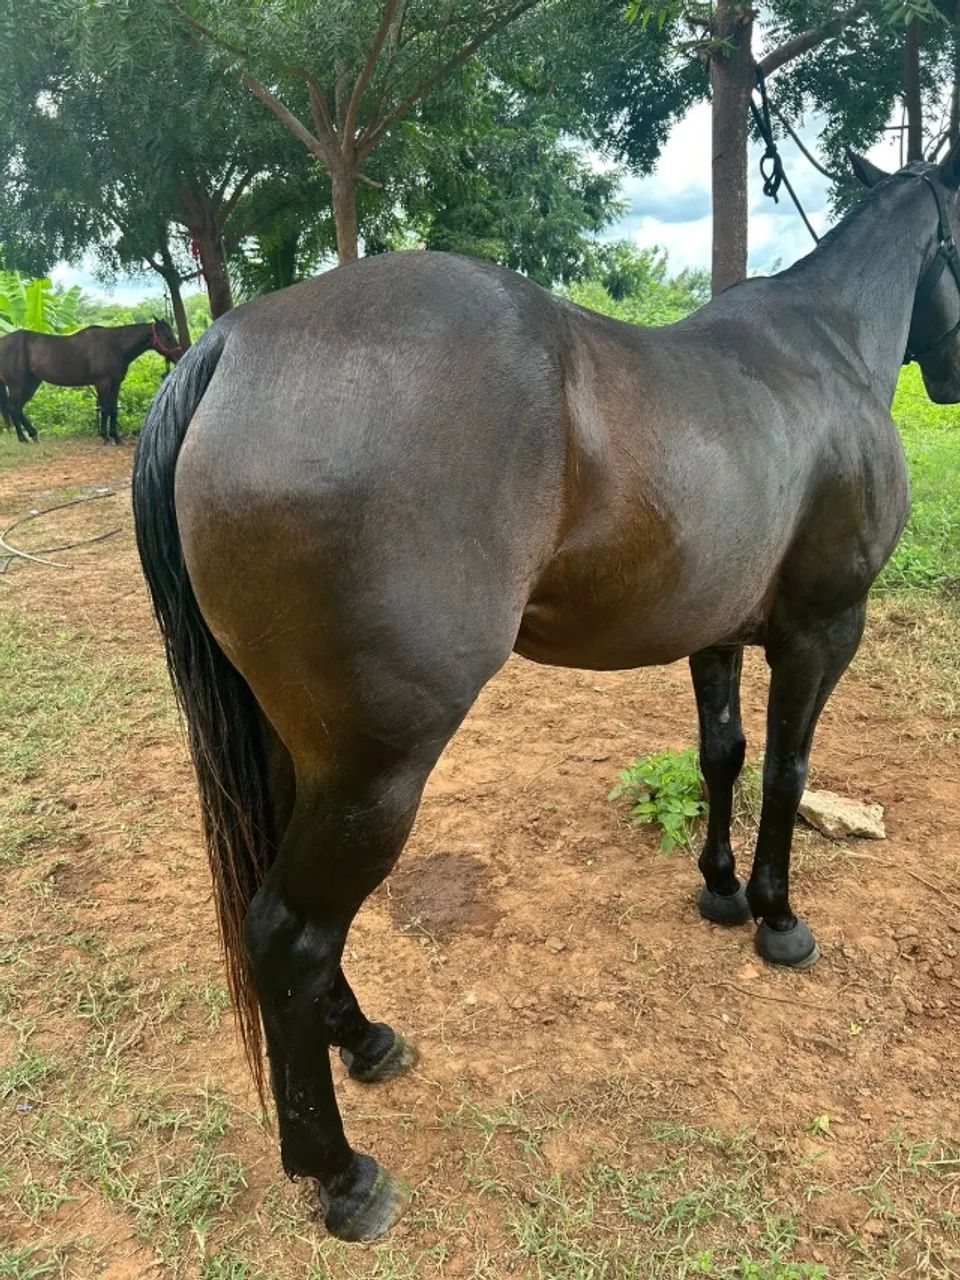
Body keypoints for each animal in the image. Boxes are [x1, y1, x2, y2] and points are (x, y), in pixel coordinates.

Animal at [0, 317, 181, 444]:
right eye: (168, 337)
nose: (179, 356)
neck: (114, 346)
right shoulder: (103, 383)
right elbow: (105, 409)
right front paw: (106, 437)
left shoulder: (116, 384)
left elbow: (113, 410)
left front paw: (116, 437)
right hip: (17, 385)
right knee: (13, 408)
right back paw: (24, 438)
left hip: (31, 384)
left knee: (17, 408)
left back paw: (32, 435)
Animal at [132, 145, 960, 1242]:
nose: (956, 376)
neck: (824, 346)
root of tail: (231, 341)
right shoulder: (823, 632)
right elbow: (786, 769)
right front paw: (778, 918)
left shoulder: (716, 635)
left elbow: (723, 756)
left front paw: (720, 888)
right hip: (373, 772)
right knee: (289, 934)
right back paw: (339, 1172)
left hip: (291, 751)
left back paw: (365, 1038)